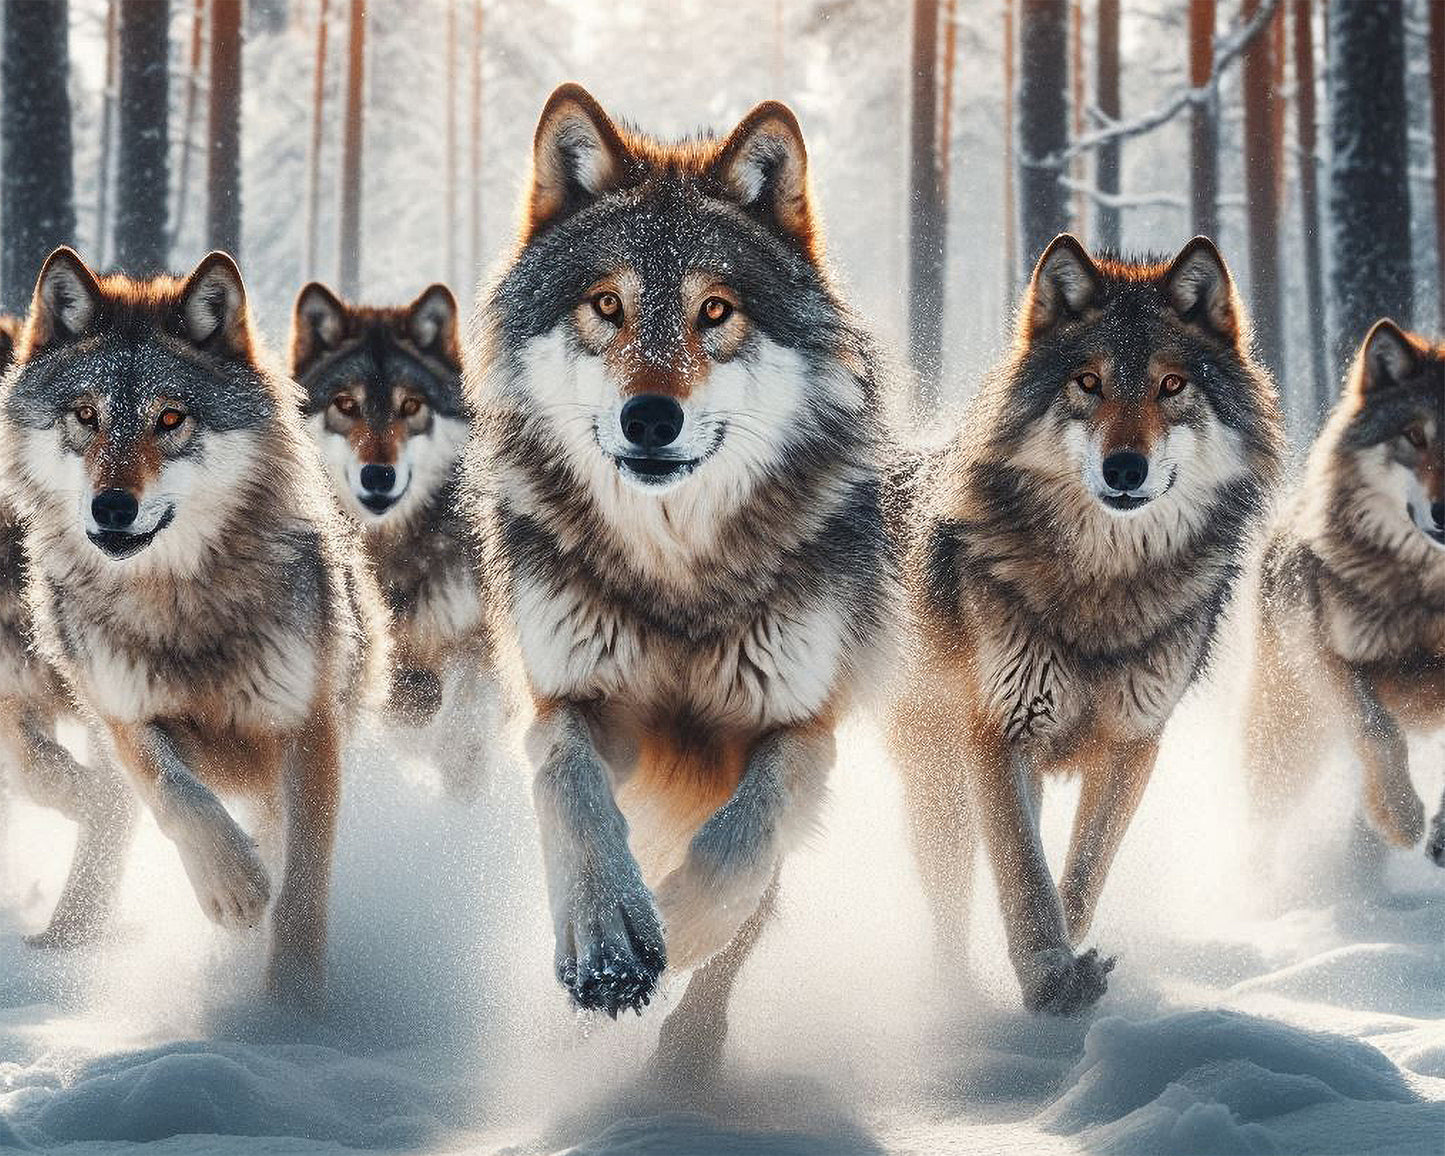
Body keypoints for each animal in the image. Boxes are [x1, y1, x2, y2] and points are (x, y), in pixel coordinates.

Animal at [1, 247, 388, 1007]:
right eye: (86, 415)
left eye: (171, 417)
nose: (112, 507)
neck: (176, 602)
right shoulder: (123, 716)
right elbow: (174, 794)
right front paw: (231, 888)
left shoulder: (308, 728)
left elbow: (301, 889)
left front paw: (292, 1010)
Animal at [468, 84, 895, 1068]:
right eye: (606, 304)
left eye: (715, 311)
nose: (650, 418)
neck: (679, 577)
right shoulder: (569, 701)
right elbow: (570, 789)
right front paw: (608, 940)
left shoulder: (798, 727)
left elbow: (741, 846)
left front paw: (683, 923)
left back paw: (690, 1050)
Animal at [890, 235, 1283, 1014]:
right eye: (1088, 382)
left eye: (1171, 386)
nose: (1124, 467)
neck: (1103, 585)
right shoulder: (998, 731)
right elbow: (1023, 873)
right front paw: (1049, 977)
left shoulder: (1134, 743)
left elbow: (1080, 874)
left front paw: (1068, 965)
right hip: (939, 792)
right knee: (948, 909)